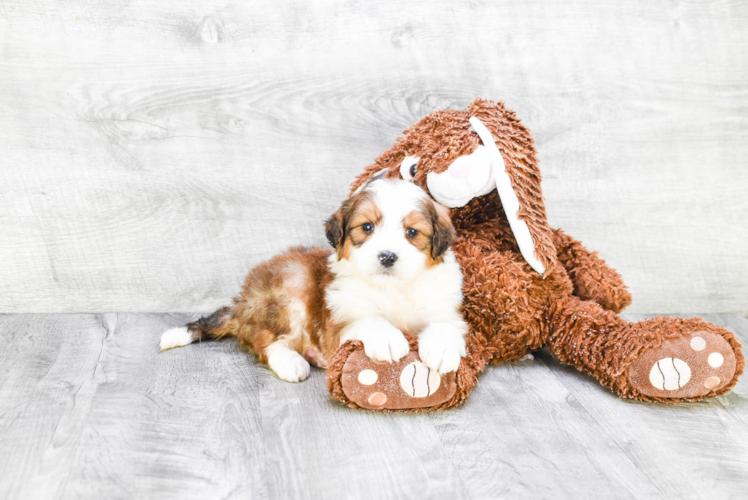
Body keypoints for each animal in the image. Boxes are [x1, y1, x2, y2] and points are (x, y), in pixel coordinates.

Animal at [159, 180, 468, 382]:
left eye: (412, 232)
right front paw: (388, 338)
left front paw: (442, 349)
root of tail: (243, 301)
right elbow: (368, 319)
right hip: (291, 284)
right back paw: (292, 363)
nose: (388, 256)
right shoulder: (340, 319)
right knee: (267, 342)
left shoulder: (444, 306)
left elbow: (445, 324)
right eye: (367, 227)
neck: (392, 289)